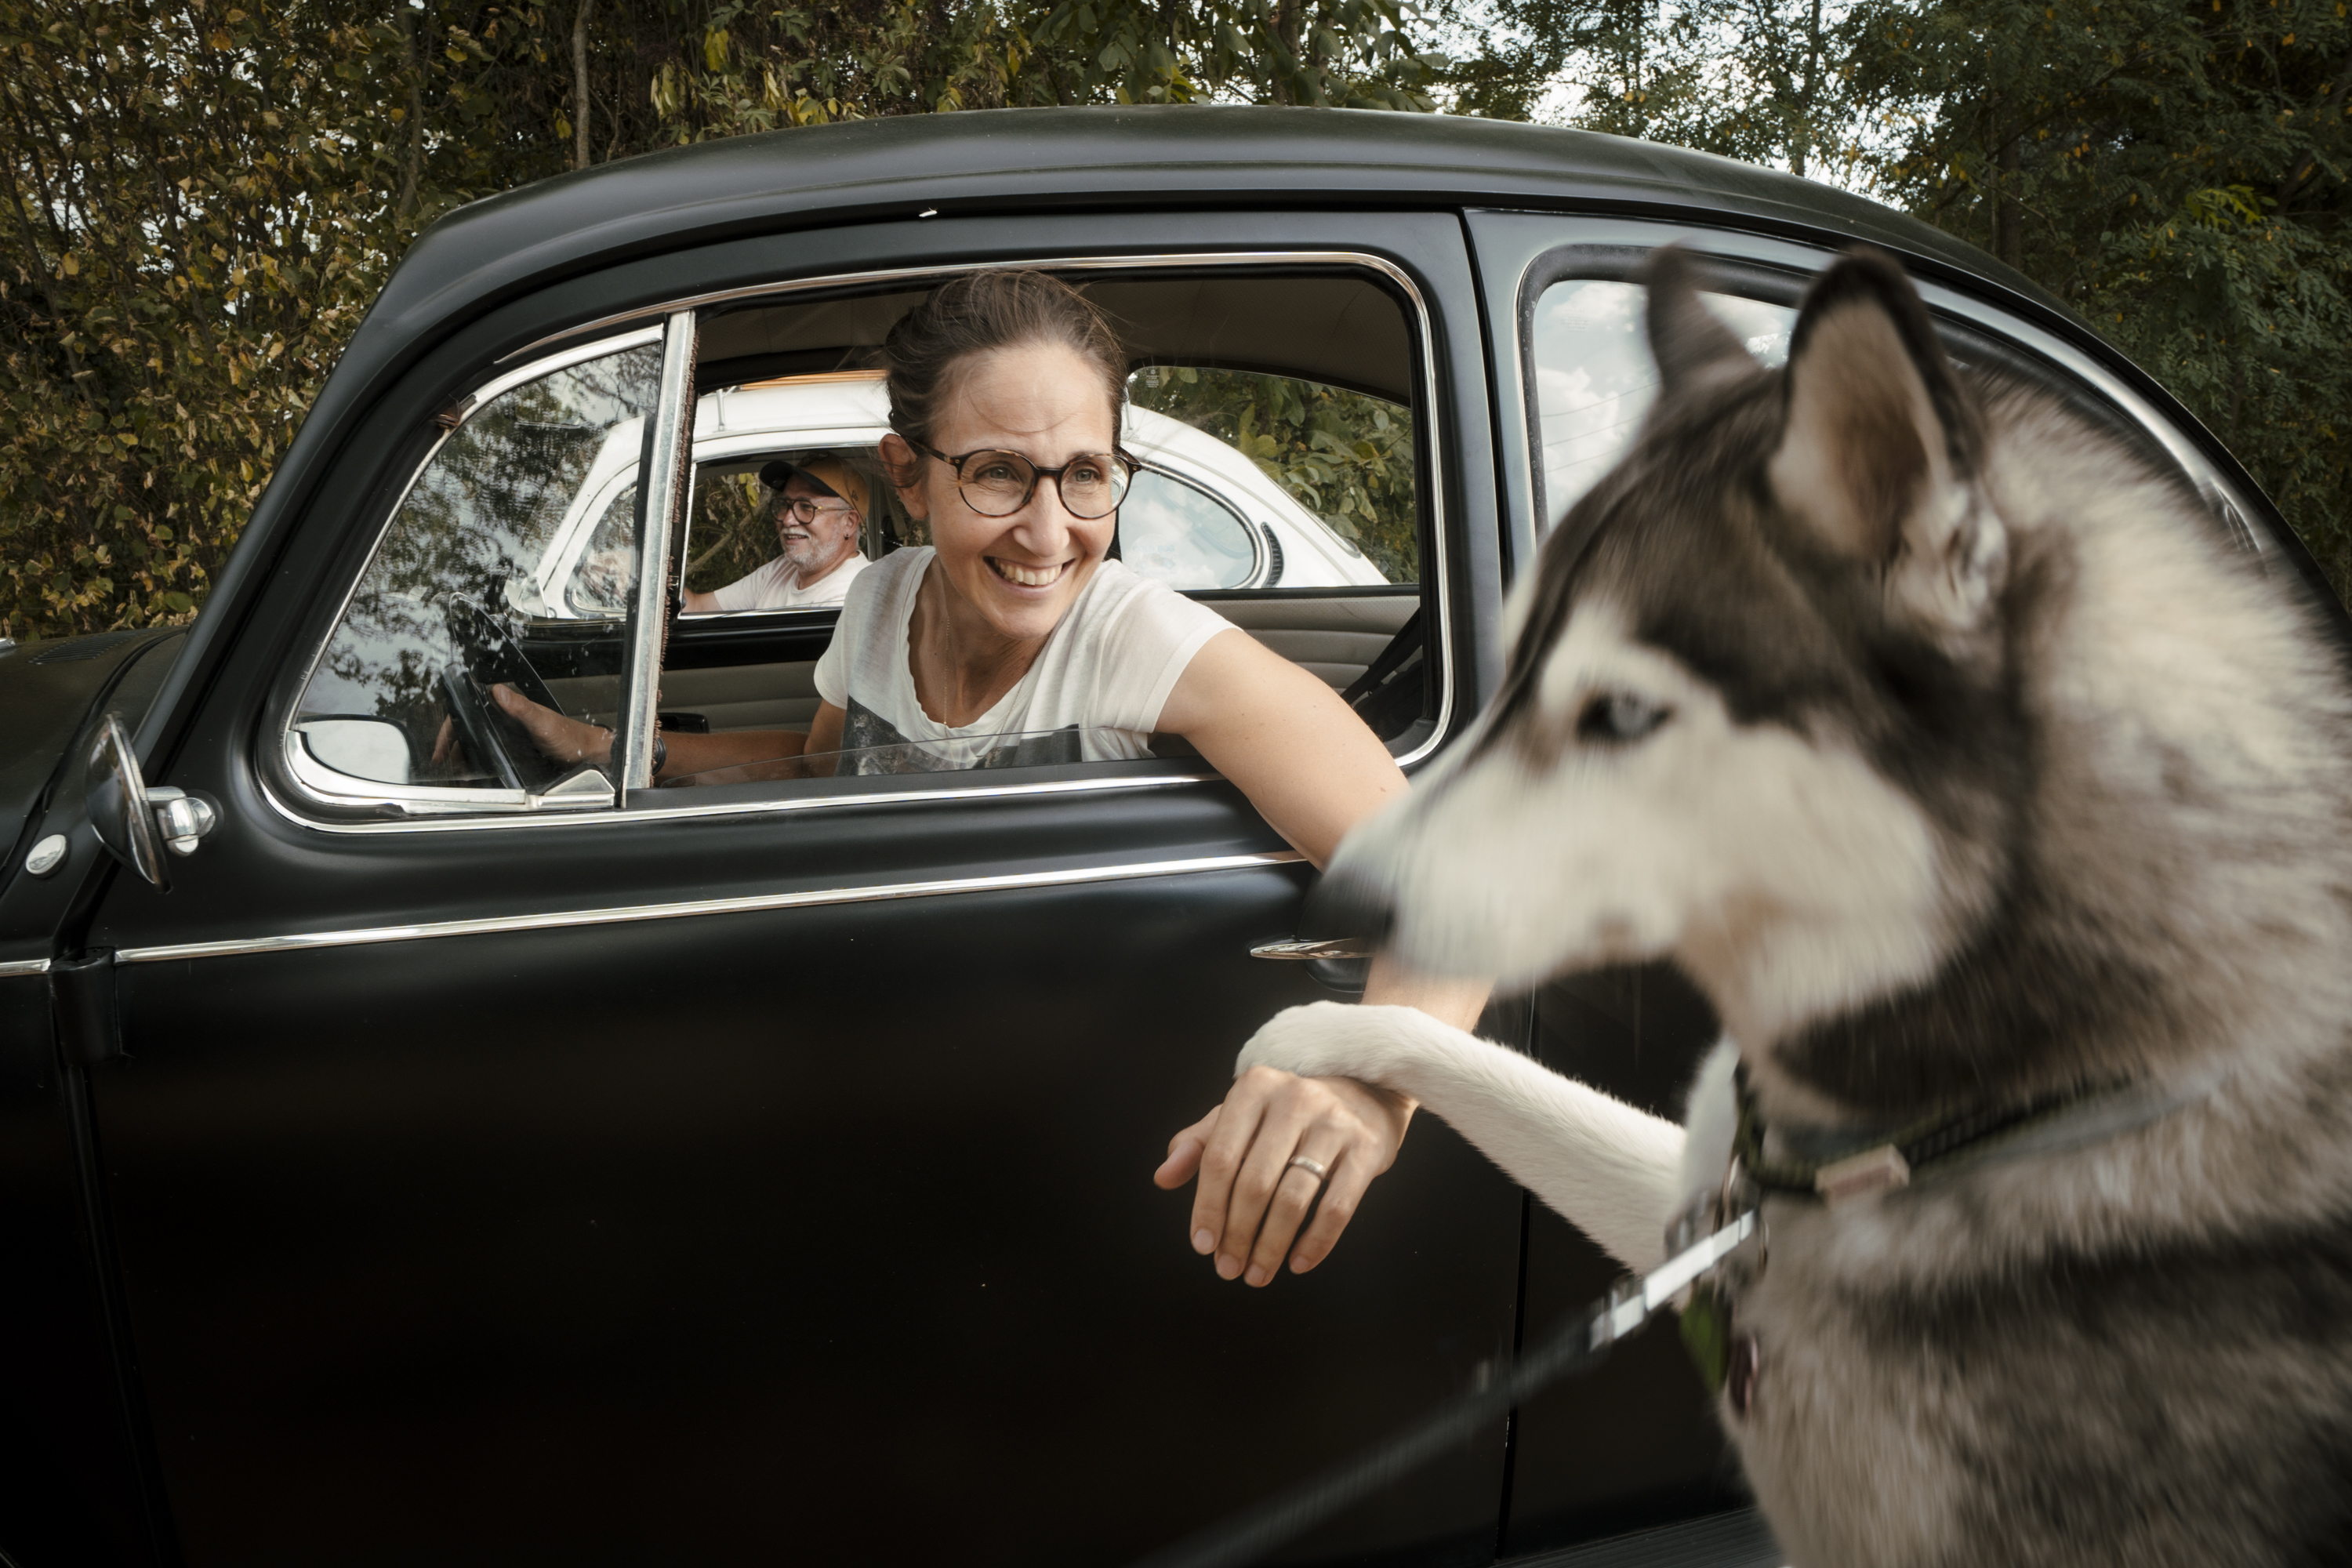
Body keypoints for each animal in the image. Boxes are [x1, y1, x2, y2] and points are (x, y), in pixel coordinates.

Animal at [1239, 249, 2352, 1566]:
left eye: (1621, 713)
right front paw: (1316, 1039)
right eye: (1505, 676)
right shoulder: (1696, 1202)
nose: (1335, 900)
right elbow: (1498, 1075)